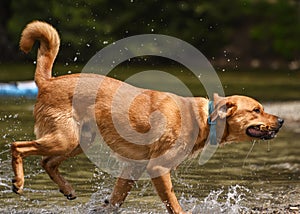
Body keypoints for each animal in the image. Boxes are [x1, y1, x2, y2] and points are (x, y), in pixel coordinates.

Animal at [11, 20, 284, 213]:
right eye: (256, 109)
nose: (281, 121)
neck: (201, 118)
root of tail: (47, 82)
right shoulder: (158, 167)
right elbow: (173, 203)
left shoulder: (133, 166)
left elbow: (116, 199)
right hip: (65, 138)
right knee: (18, 146)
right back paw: (18, 183)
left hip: (79, 141)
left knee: (47, 162)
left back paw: (66, 189)